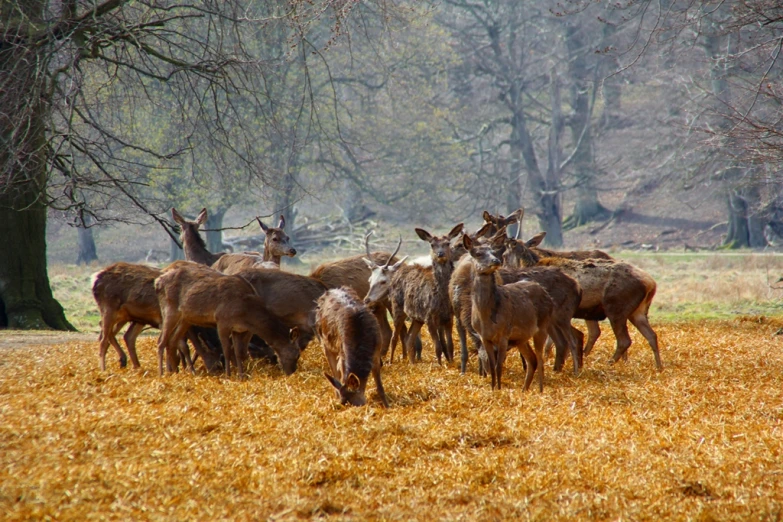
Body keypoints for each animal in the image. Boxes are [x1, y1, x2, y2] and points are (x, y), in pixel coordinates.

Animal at [155, 262, 302, 376]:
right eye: (297, 354)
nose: (292, 372)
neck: (247, 313)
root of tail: (158, 282)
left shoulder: (238, 329)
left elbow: (238, 352)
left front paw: (242, 375)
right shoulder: (222, 321)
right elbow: (226, 350)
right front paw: (228, 375)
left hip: (185, 319)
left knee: (172, 341)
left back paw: (175, 373)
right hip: (169, 309)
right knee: (161, 341)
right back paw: (162, 374)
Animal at [366, 222, 466, 362]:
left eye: (447, 243)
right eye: (432, 244)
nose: (440, 254)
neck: (441, 295)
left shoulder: (448, 317)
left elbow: (449, 345)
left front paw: (450, 362)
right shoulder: (429, 317)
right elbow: (438, 347)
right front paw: (440, 364)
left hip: (416, 318)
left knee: (409, 338)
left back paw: (412, 362)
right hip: (398, 310)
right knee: (395, 337)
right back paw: (391, 361)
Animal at [462, 234, 556, 388]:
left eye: (494, 252)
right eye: (478, 253)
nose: (496, 261)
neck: (486, 317)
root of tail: (546, 293)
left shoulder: (504, 334)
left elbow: (498, 366)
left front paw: (499, 389)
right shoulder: (484, 337)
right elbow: (492, 366)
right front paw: (493, 388)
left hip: (542, 326)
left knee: (540, 359)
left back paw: (540, 390)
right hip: (521, 337)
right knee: (532, 360)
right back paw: (524, 389)